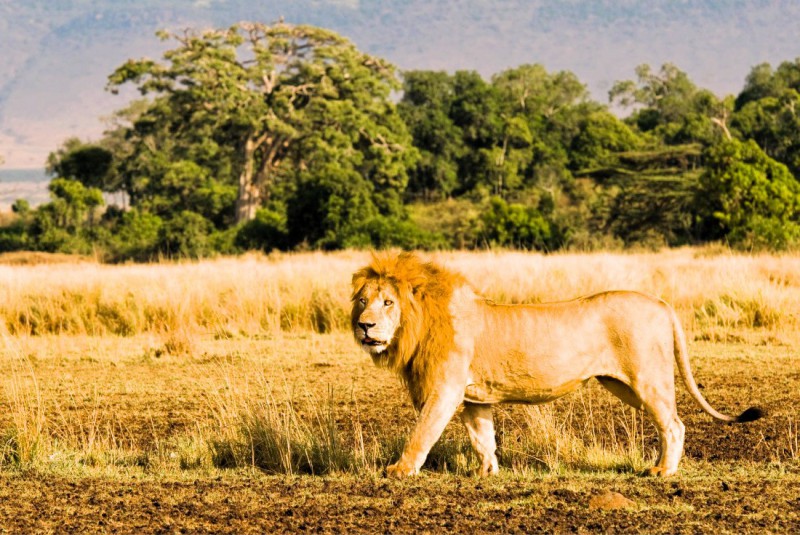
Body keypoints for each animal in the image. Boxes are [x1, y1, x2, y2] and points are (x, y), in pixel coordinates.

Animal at [350, 251, 764, 478]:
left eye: (388, 302)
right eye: (362, 301)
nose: (364, 326)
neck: (418, 325)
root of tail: (661, 303)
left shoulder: (445, 391)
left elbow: (421, 433)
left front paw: (399, 471)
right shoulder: (473, 398)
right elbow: (483, 437)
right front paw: (487, 472)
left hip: (648, 379)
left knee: (674, 423)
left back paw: (663, 471)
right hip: (623, 384)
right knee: (670, 420)